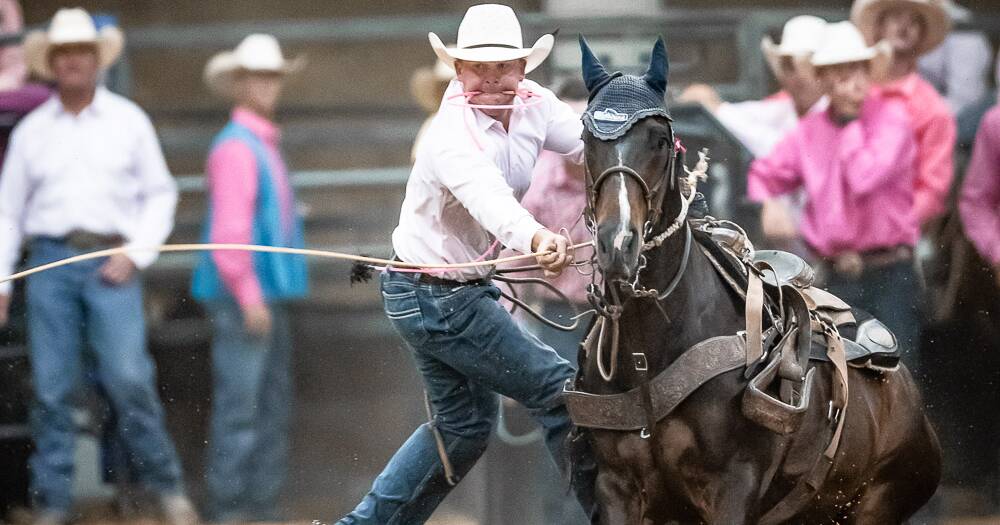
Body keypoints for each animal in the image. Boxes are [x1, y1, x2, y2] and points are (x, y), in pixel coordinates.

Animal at [576, 34, 940, 520]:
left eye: (659, 139)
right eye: (586, 138)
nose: (618, 244)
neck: (648, 356)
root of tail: (908, 395)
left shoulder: (734, 484)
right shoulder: (616, 487)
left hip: (879, 503)